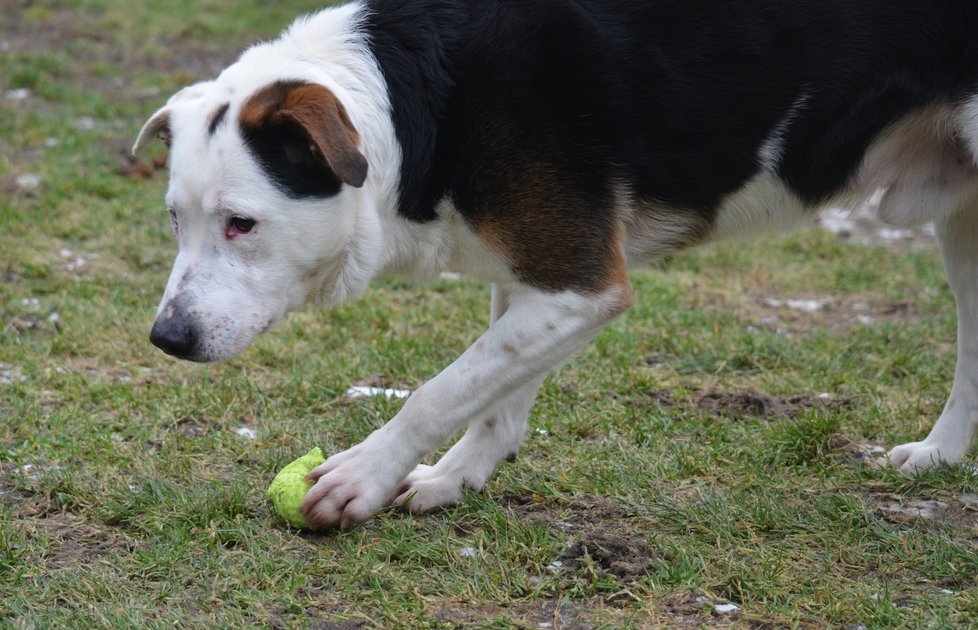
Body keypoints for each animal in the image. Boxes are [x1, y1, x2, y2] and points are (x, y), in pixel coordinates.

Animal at [132, 0, 976, 532]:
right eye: (174, 218)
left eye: (242, 224)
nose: (167, 340)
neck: (416, 99)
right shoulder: (543, 276)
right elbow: (496, 394)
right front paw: (456, 476)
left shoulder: (584, 282)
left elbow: (442, 389)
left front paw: (361, 476)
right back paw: (939, 455)